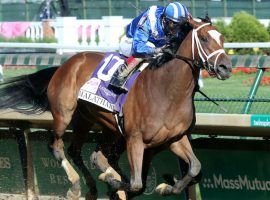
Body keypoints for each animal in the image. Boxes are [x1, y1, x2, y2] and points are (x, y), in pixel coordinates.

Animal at [0, 18, 231, 199]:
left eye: (222, 38)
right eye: (204, 38)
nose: (225, 67)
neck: (168, 91)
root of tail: (67, 63)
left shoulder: (174, 138)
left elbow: (195, 168)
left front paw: (166, 186)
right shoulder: (135, 139)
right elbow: (137, 184)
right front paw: (112, 181)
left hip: (94, 122)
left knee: (84, 153)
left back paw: (93, 187)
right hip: (64, 114)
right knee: (57, 146)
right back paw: (75, 186)